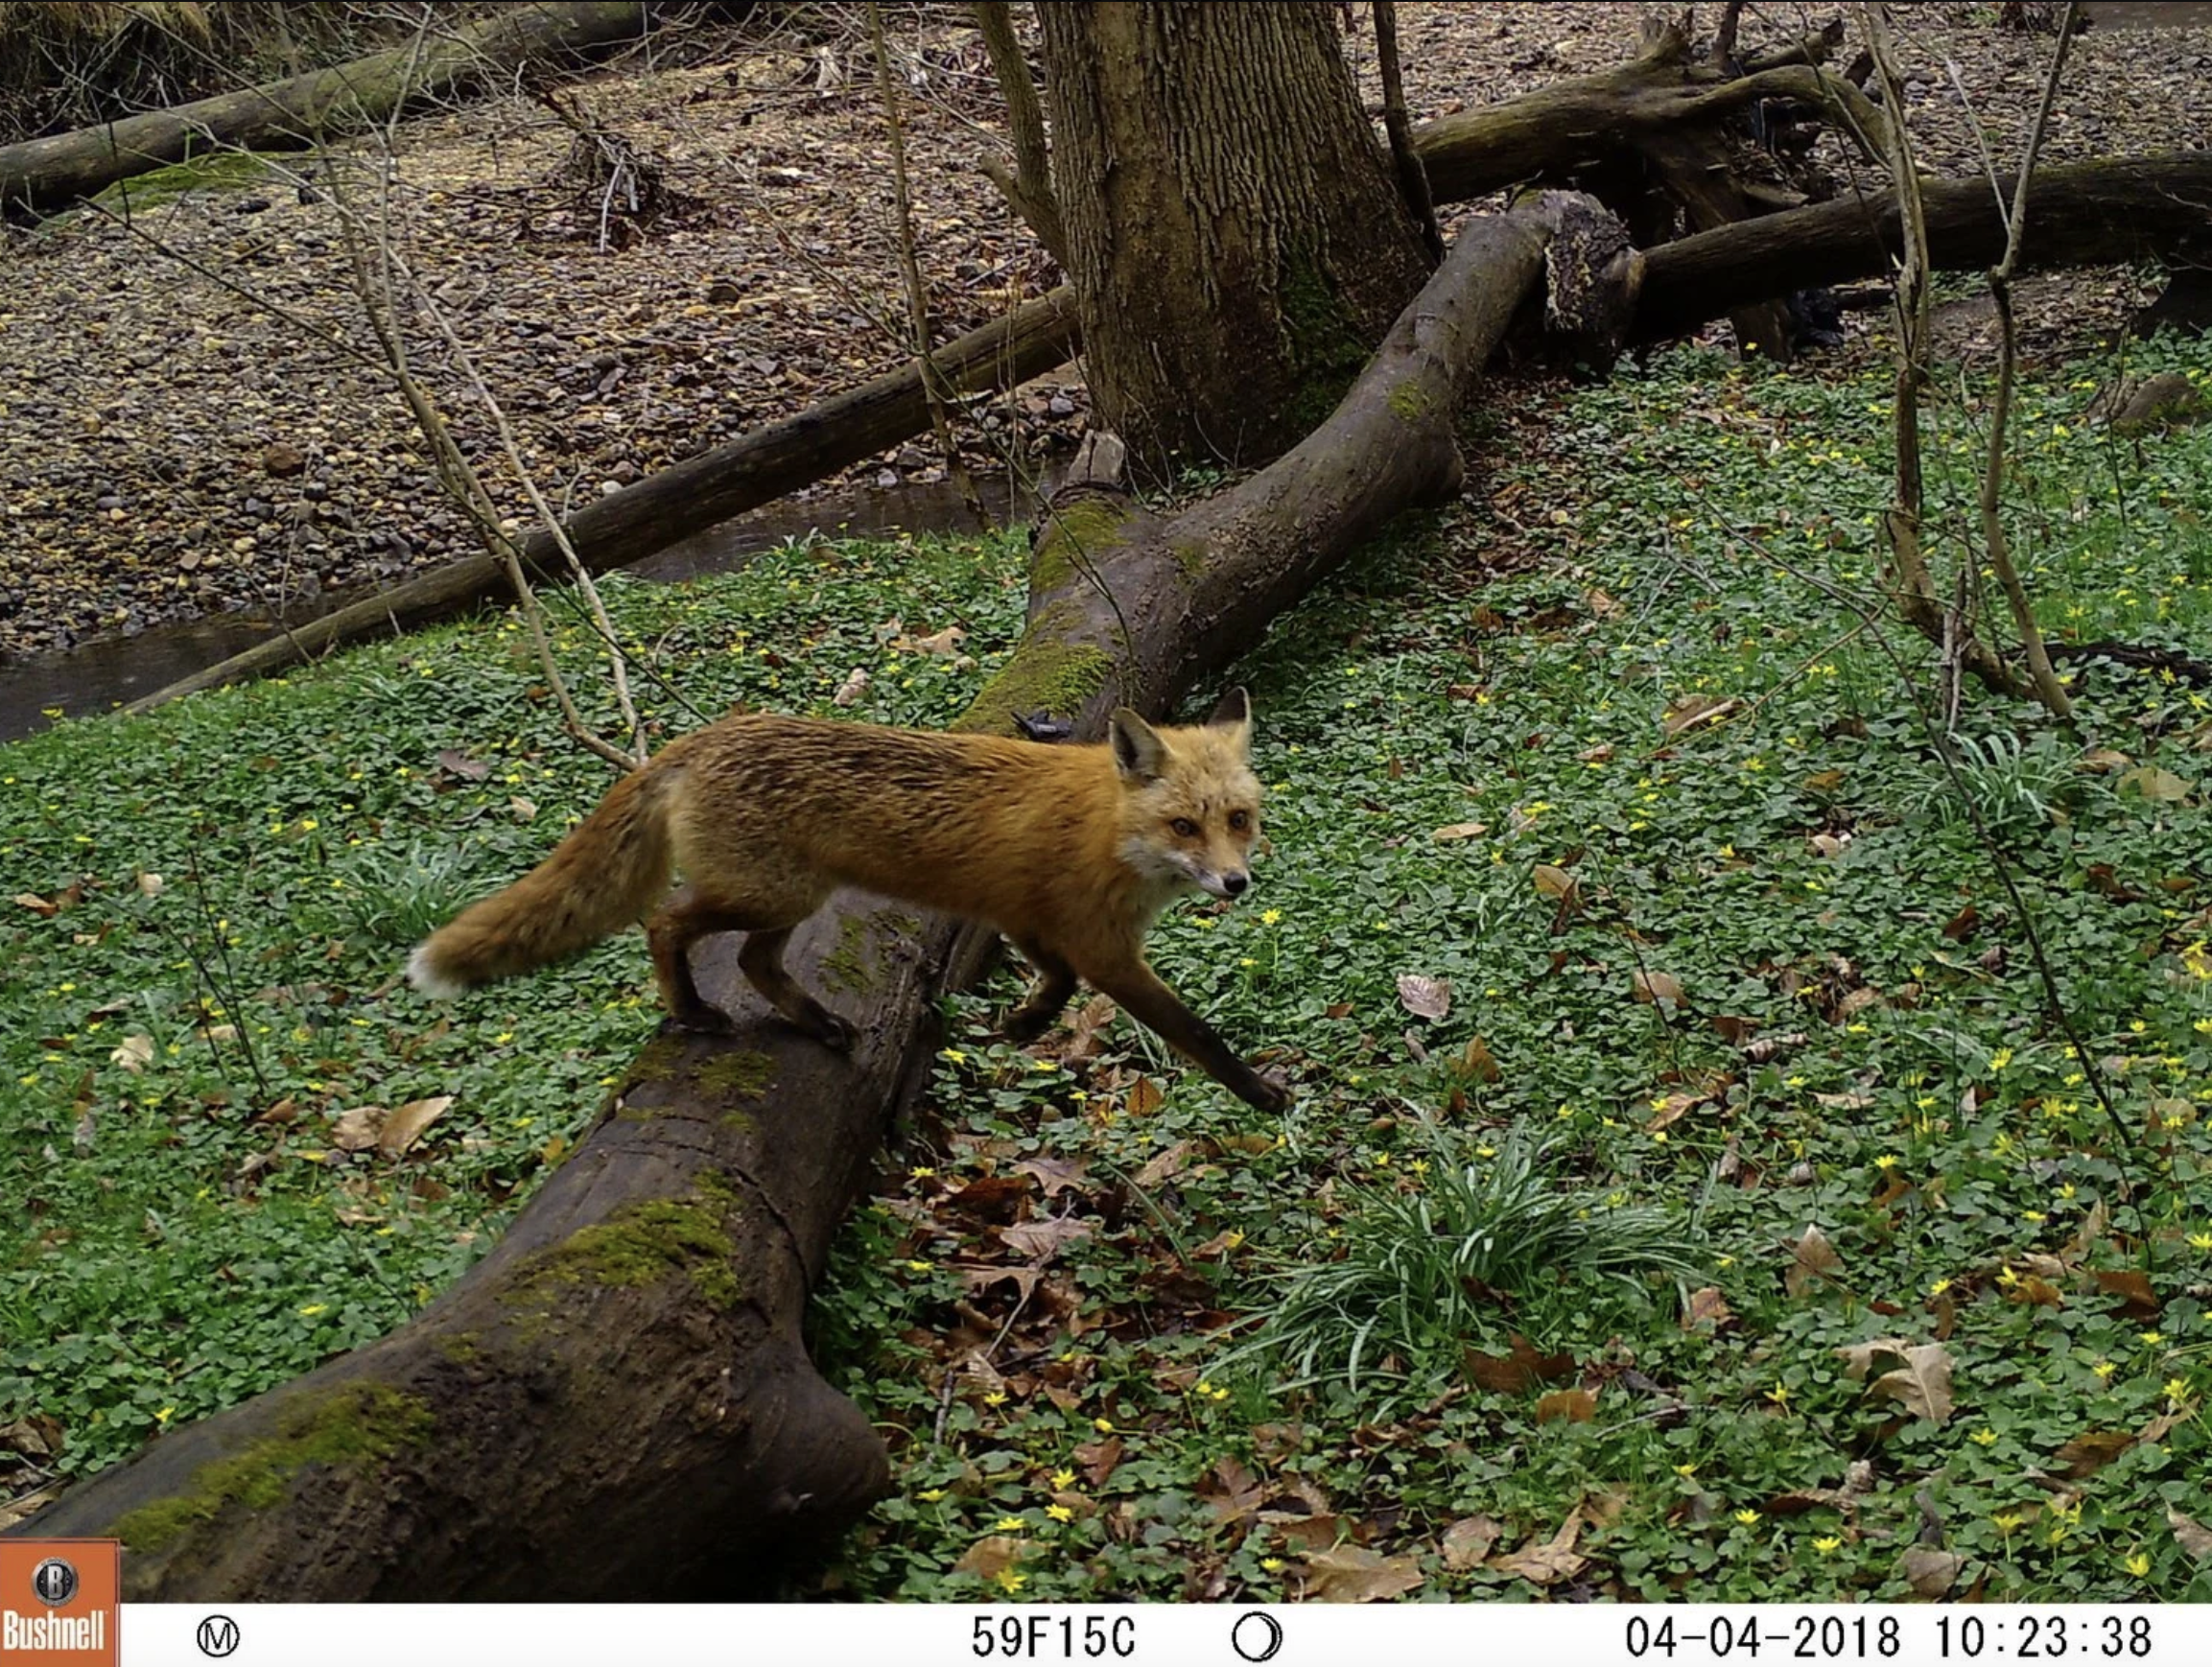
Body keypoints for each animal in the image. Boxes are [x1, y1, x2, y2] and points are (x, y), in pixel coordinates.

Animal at [405, 688, 1288, 1112]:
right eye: (1183, 825)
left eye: (1239, 821)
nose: (1235, 883)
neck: (1107, 832)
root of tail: (701, 739)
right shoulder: (1100, 946)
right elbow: (1196, 1034)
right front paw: (1262, 1096)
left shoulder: (1028, 918)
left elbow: (1056, 984)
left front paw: (1020, 1025)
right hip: (766, 893)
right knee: (664, 923)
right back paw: (691, 1011)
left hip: (788, 902)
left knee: (755, 964)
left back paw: (817, 1024)